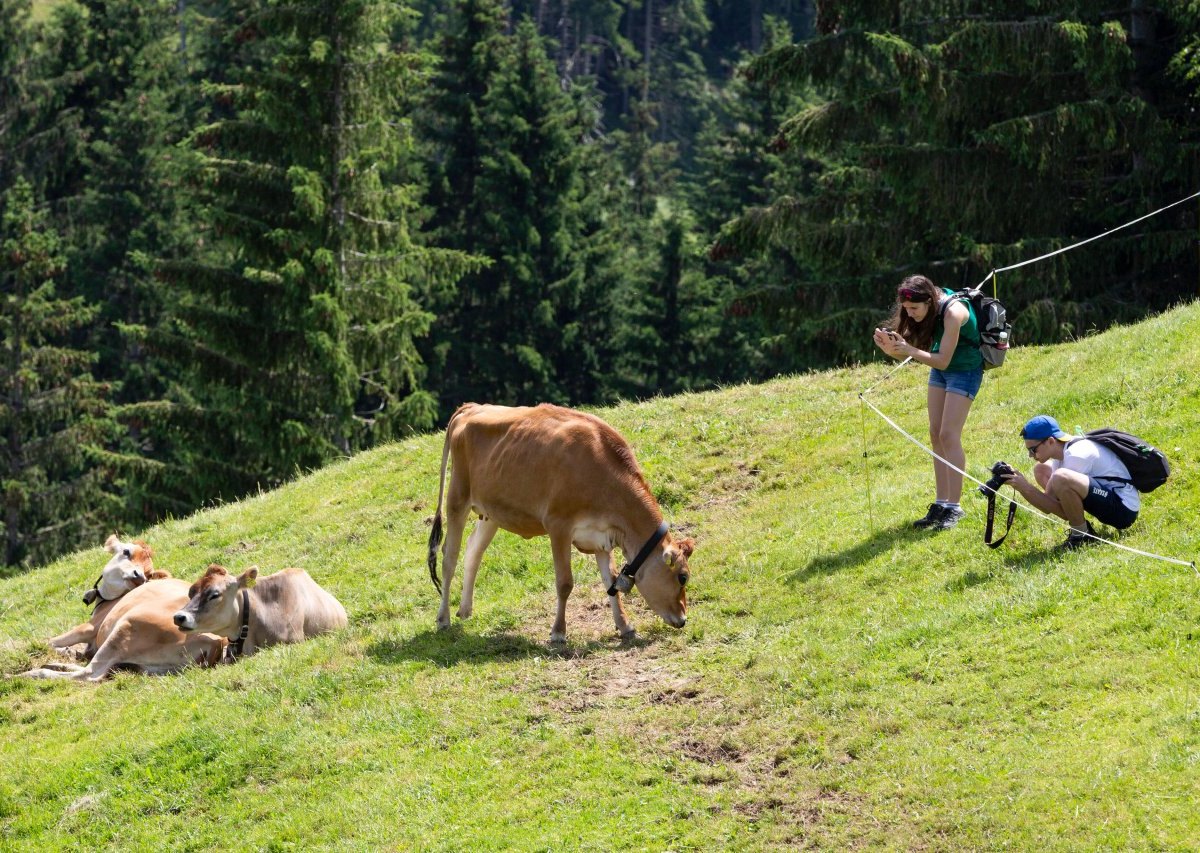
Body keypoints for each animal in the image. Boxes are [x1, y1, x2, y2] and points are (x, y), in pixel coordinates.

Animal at [429, 403, 696, 643]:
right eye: (683, 577)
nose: (683, 619)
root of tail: (471, 406)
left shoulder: (601, 535)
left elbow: (610, 581)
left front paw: (625, 626)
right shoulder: (558, 526)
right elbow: (564, 583)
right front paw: (558, 633)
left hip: (491, 512)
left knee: (474, 550)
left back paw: (465, 609)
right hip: (457, 498)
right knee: (449, 558)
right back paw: (443, 618)